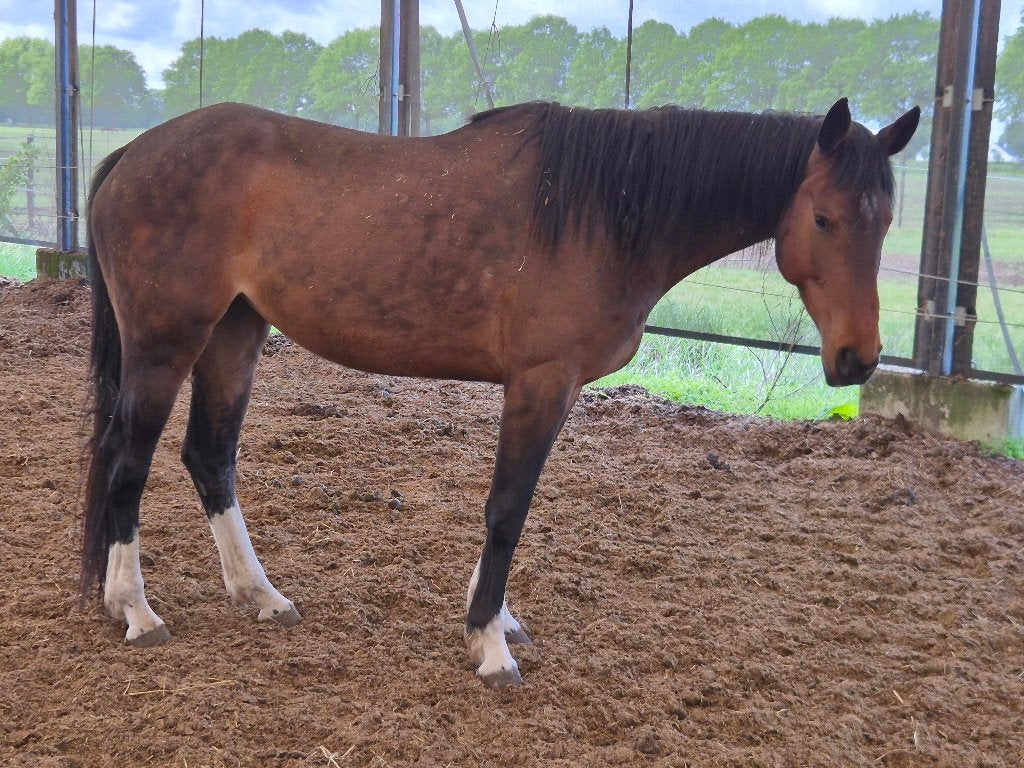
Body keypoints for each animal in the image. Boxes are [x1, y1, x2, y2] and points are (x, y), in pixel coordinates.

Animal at [81, 97, 919, 687]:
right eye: (824, 217)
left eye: (885, 222)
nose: (857, 359)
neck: (603, 213)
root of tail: (131, 155)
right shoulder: (541, 381)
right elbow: (508, 509)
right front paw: (488, 644)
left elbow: (512, 508)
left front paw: (496, 618)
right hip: (167, 343)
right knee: (128, 460)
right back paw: (135, 610)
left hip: (235, 332)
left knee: (209, 456)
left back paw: (259, 595)